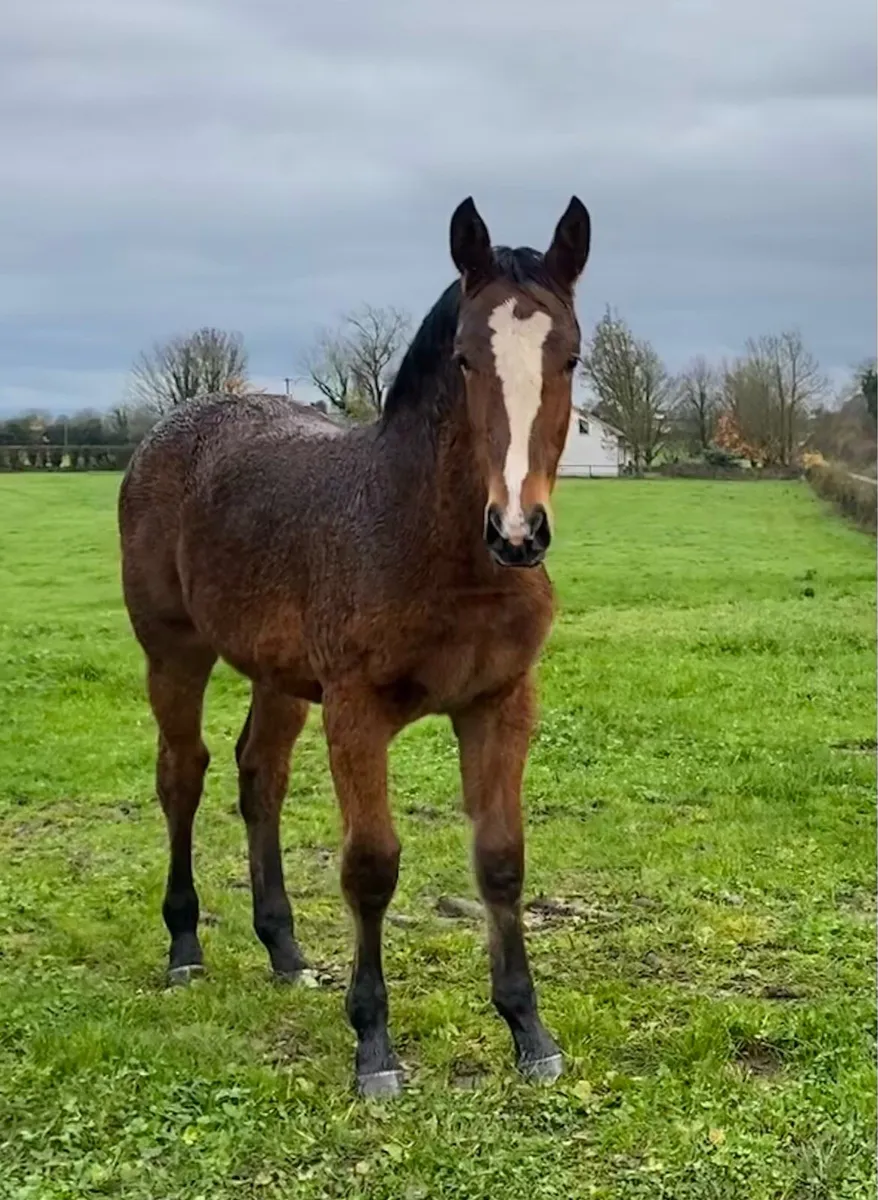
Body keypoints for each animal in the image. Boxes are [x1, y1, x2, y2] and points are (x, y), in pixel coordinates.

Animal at [118, 194, 591, 1097]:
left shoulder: (500, 702)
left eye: (572, 356)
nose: (518, 532)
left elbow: (501, 858)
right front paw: (373, 1045)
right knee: (183, 775)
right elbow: (371, 866)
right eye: (466, 358)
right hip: (173, 653)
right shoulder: (355, 711)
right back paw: (185, 946)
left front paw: (530, 1031)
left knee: (258, 777)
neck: (438, 549)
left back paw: (285, 951)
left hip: (275, 673)